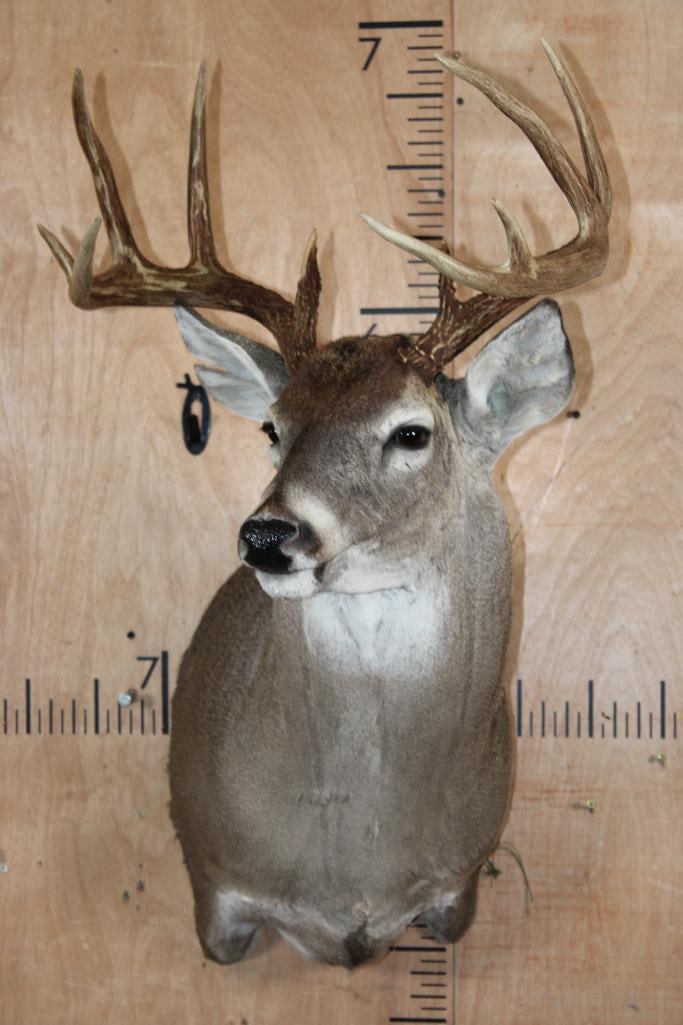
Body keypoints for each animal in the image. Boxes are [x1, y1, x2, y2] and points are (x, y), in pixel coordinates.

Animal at [39, 41, 611, 968]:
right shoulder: (214, 887)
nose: (268, 534)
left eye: (411, 432)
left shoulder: (458, 885)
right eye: (273, 426)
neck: (354, 867)